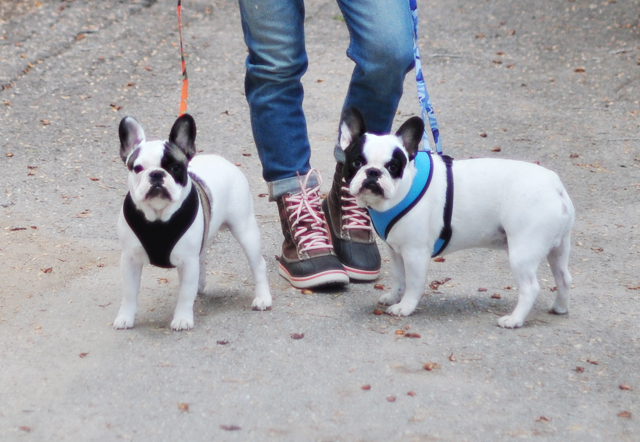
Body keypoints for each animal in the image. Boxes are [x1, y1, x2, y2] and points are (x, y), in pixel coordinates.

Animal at [114, 114, 272, 332]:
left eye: (175, 167)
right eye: (137, 168)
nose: (156, 174)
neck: (158, 216)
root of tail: (222, 160)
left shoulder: (187, 261)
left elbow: (184, 294)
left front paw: (182, 318)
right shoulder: (130, 259)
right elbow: (129, 293)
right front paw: (125, 317)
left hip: (245, 230)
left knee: (258, 264)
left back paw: (263, 298)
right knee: (202, 259)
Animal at [340, 107, 576, 328]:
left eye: (393, 167)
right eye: (356, 163)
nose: (373, 172)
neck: (404, 188)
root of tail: (555, 186)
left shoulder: (416, 253)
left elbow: (414, 284)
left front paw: (405, 307)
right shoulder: (396, 250)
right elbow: (399, 277)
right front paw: (392, 297)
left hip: (522, 251)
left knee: (530, 288)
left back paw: (514, 320)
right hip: (558, 247)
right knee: (564, 277)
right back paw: (560, 307)